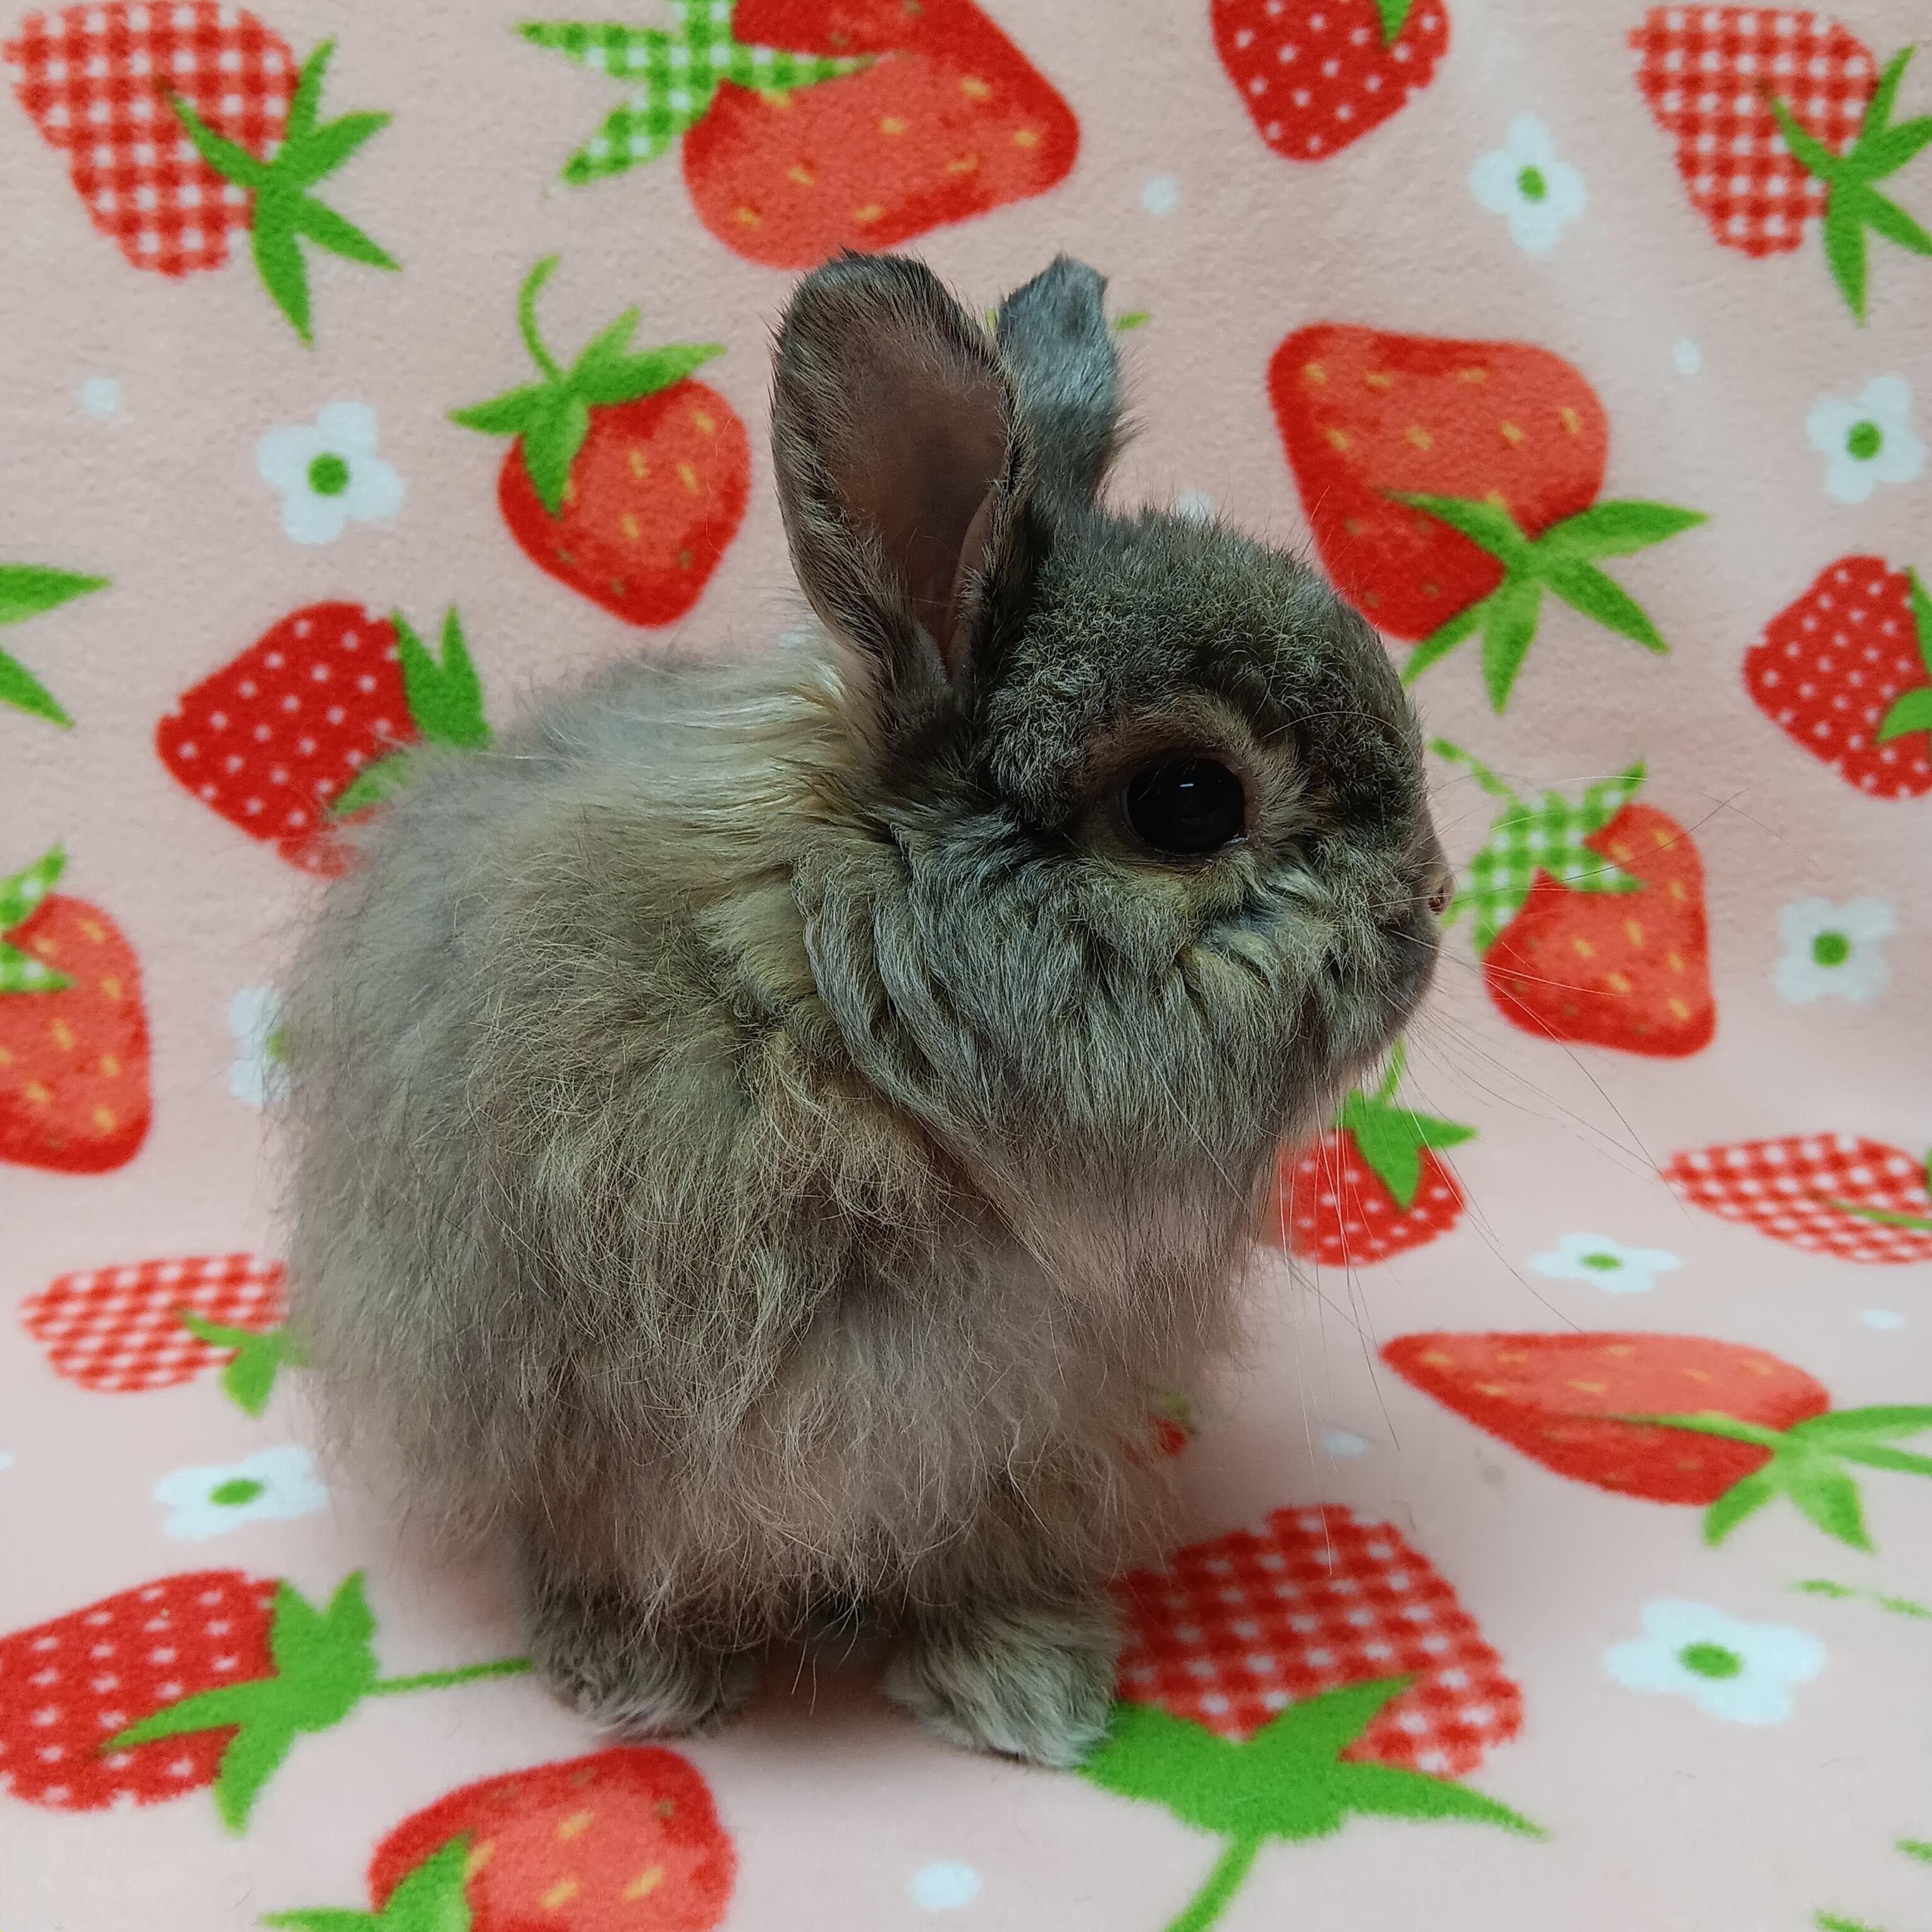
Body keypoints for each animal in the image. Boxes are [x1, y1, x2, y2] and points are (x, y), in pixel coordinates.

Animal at [279, 250, 1450, 1770]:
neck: (866, 1057)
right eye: (1188, 802)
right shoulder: (588, 1414)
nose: (1432, 903)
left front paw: (1031, 1694)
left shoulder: (1020, 1436)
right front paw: (642, 1681)